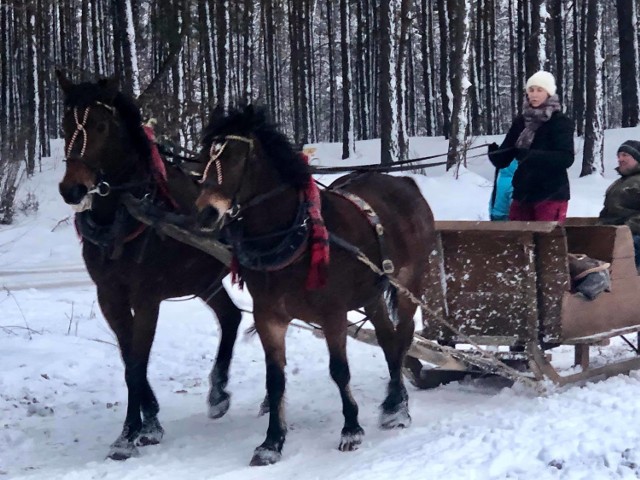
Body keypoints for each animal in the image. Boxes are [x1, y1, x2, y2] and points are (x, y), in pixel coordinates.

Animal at [55, 72, 242, 462]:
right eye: (65, 124)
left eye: (100, 125)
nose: (72, 188)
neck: (125, 215)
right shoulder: (109, 296)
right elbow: (130, 361)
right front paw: (151, 421)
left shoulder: (146, 299)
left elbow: (136, 365)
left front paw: (128, 435)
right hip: (204, 281)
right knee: (231, 317)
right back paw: (218, 394)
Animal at [194, 105, 436, 464]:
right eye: (203, 158)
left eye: (236, 157)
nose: (205, 214)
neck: (295, 237)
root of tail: (405, 183)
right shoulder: (269, 317)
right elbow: (275, 380)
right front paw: (271, 442)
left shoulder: (332, 315)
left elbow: (339, 371)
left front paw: (351, 429)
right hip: (372, 294)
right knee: (388, 340)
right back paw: (394, 403)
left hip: (409, 281)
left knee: (403, 335)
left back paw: (398, 408)